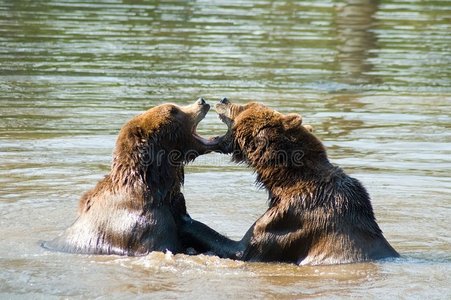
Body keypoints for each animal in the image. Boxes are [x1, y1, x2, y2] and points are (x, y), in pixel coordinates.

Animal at [180, 98, 400, 264]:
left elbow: (242, 248)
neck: (285, 181)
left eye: (245, 106)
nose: (224, 99)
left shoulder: (292, 217)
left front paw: (185, 217)